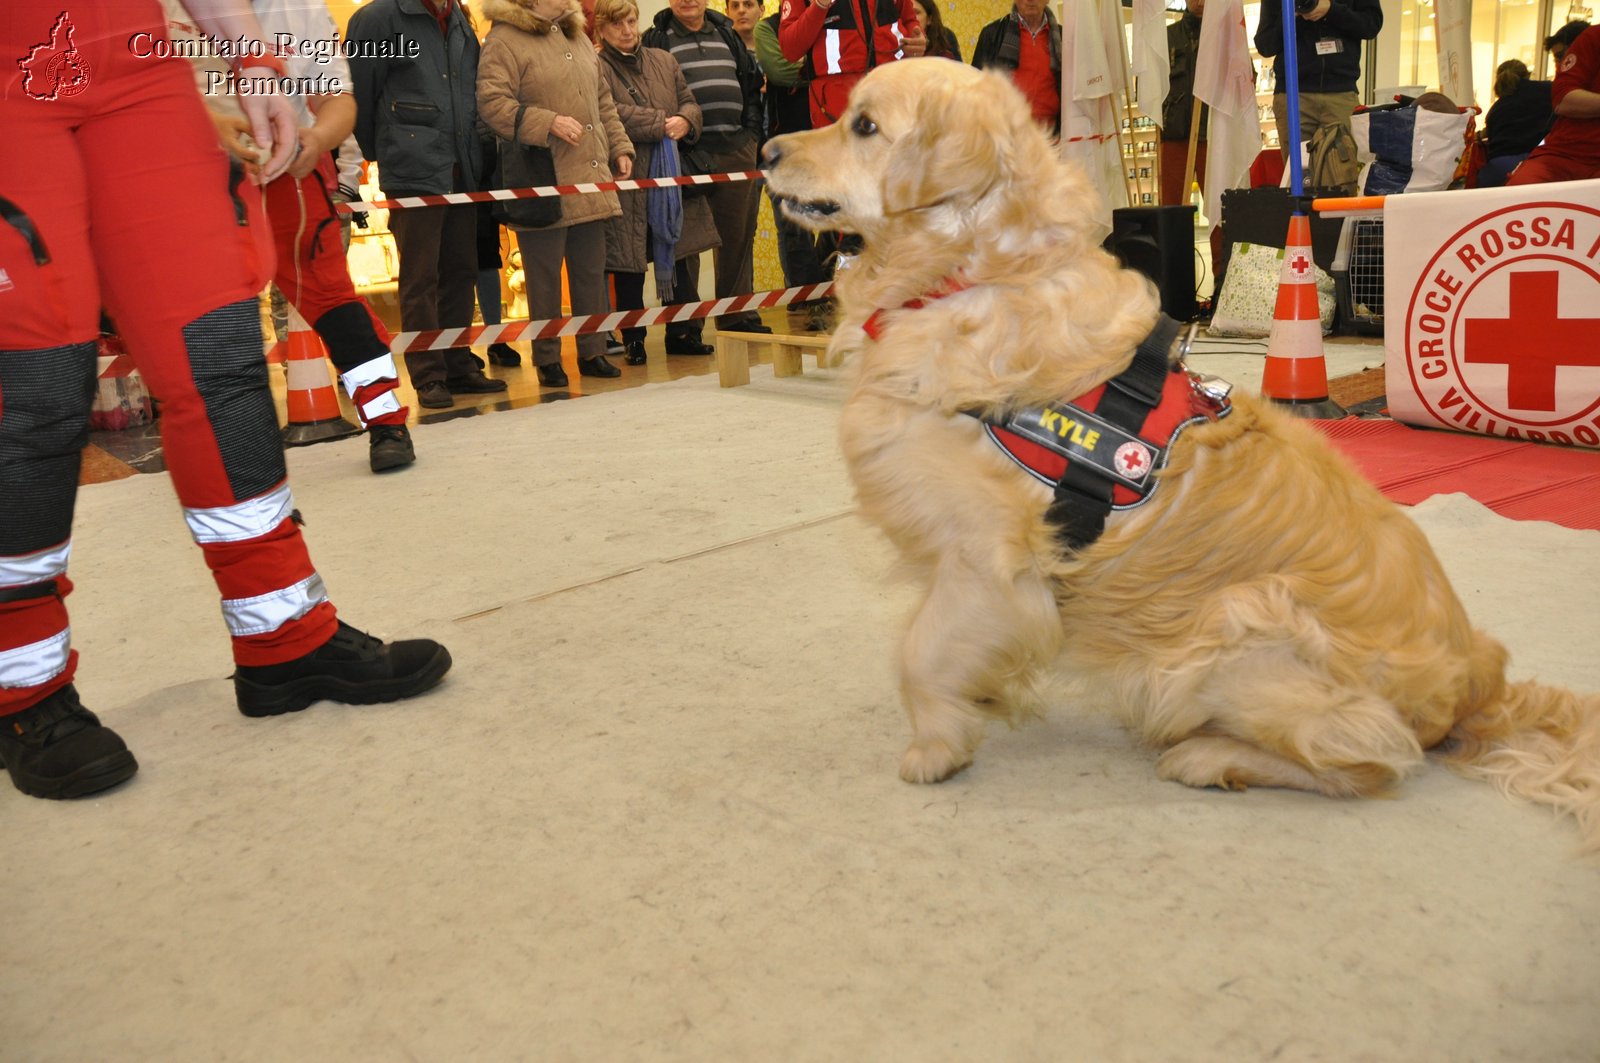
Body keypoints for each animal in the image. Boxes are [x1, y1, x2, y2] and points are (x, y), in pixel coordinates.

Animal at [761, 62, 1600, 851]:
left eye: (864, 125)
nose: (767, 151)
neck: (974, 270)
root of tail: (1473, 681)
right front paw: (983, 693)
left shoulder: (986, 555)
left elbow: (920, 650)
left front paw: (937, 743)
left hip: (1233, 626)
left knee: (1374, 756)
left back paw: (1211, 757)